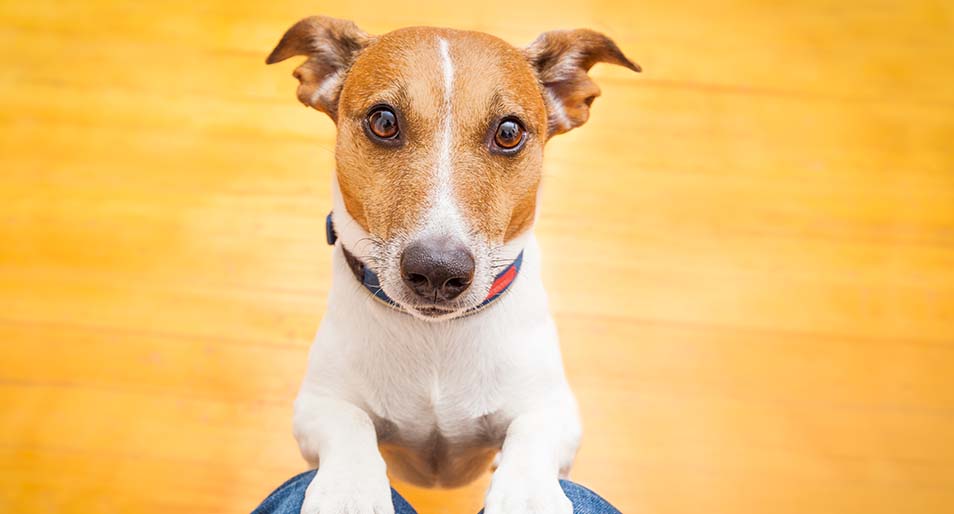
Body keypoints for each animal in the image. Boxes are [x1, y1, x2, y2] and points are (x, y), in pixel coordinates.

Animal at [268, 16, 640, 512]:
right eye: (383, 121)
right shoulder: (317, 404)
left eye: (508, 132)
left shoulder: (555, 410)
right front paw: (350, 489)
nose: (437, 271)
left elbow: (532, 433)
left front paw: (528, 494)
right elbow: (349, 424)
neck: (436, 338)